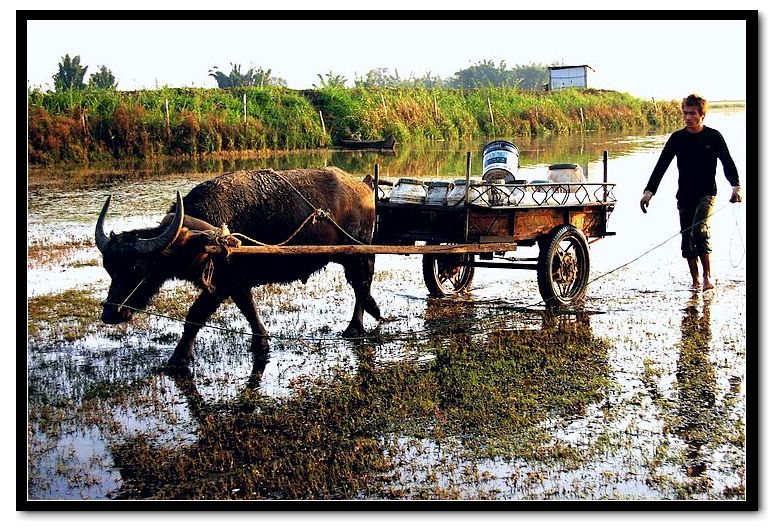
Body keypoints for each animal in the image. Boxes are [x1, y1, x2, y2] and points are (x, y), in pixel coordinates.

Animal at [95, 168, 384, 368]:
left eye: (136, 267)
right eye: (109, 268)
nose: (110, 314)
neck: (200, 237)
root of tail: (363, 188)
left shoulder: (219, 285)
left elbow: (194, 316)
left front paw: (179, 358)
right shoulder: (236, 282)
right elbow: (248, 309)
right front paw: (261, 340)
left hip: (357, 254)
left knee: (362, 285)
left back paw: (356, 326)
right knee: (361, 286)